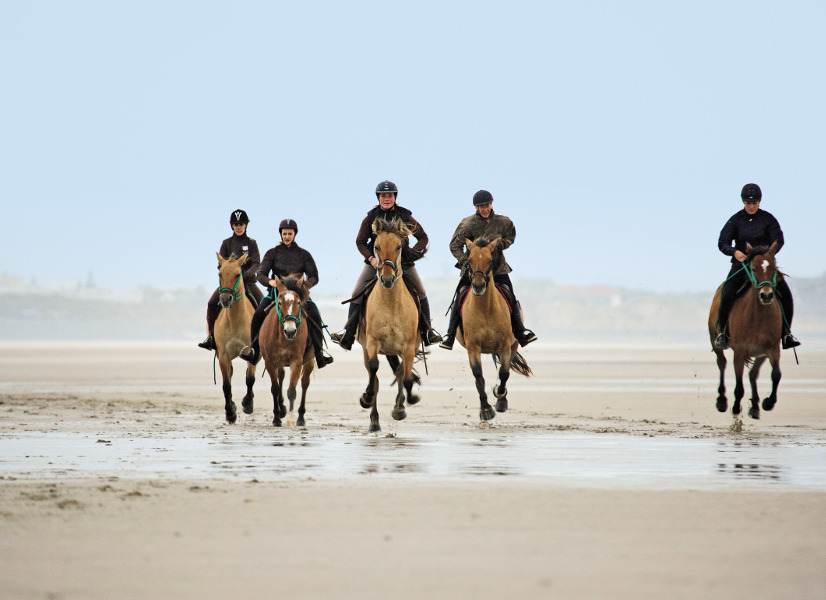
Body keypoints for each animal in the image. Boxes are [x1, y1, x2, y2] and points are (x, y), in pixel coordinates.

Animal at [260, 276, 314, 426]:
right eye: (279, 302)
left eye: (298, 302)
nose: (290, 331)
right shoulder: (270, 362)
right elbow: (275, 389)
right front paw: (276, 418)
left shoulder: (296, 361)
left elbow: (291, 390)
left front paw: (290, 418)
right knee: (281, 377)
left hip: (309, 362)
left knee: (305, 383)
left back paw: (301, 418)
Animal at [358, 218, 424, 434]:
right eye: (376, 246)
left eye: (398, 246)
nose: (387, 279)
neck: (390, 303)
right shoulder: (372, 343)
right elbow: (374, 371)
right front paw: (366, 398)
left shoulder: (409, 346)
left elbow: (407, 377)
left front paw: (406, 403)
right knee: (376, 378)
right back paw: (374, 421)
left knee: (401, 372)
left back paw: (399, 407)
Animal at [454, 238, 532, 422]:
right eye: (469, 261)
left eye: (490, 260)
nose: (478, 286)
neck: (485, 309)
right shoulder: (473, 347)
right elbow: (478, 376)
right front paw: (486, 409)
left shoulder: (505, 346)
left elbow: (504, 373)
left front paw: (500, 397)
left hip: (513, 345)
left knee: (507, 368)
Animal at [704, 241, 784, 420]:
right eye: (753, 268)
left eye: (773, 268)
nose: (766, 295)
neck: (758, 317)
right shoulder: (739, 351)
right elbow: (739, 386)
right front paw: (735, 409)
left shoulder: (772, 349)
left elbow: (776, 375)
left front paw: (768, 403)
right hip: (716, 342)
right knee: (722, 363)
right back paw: (722, 401)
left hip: (761, 353)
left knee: (753, 374)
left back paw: (754, 407)